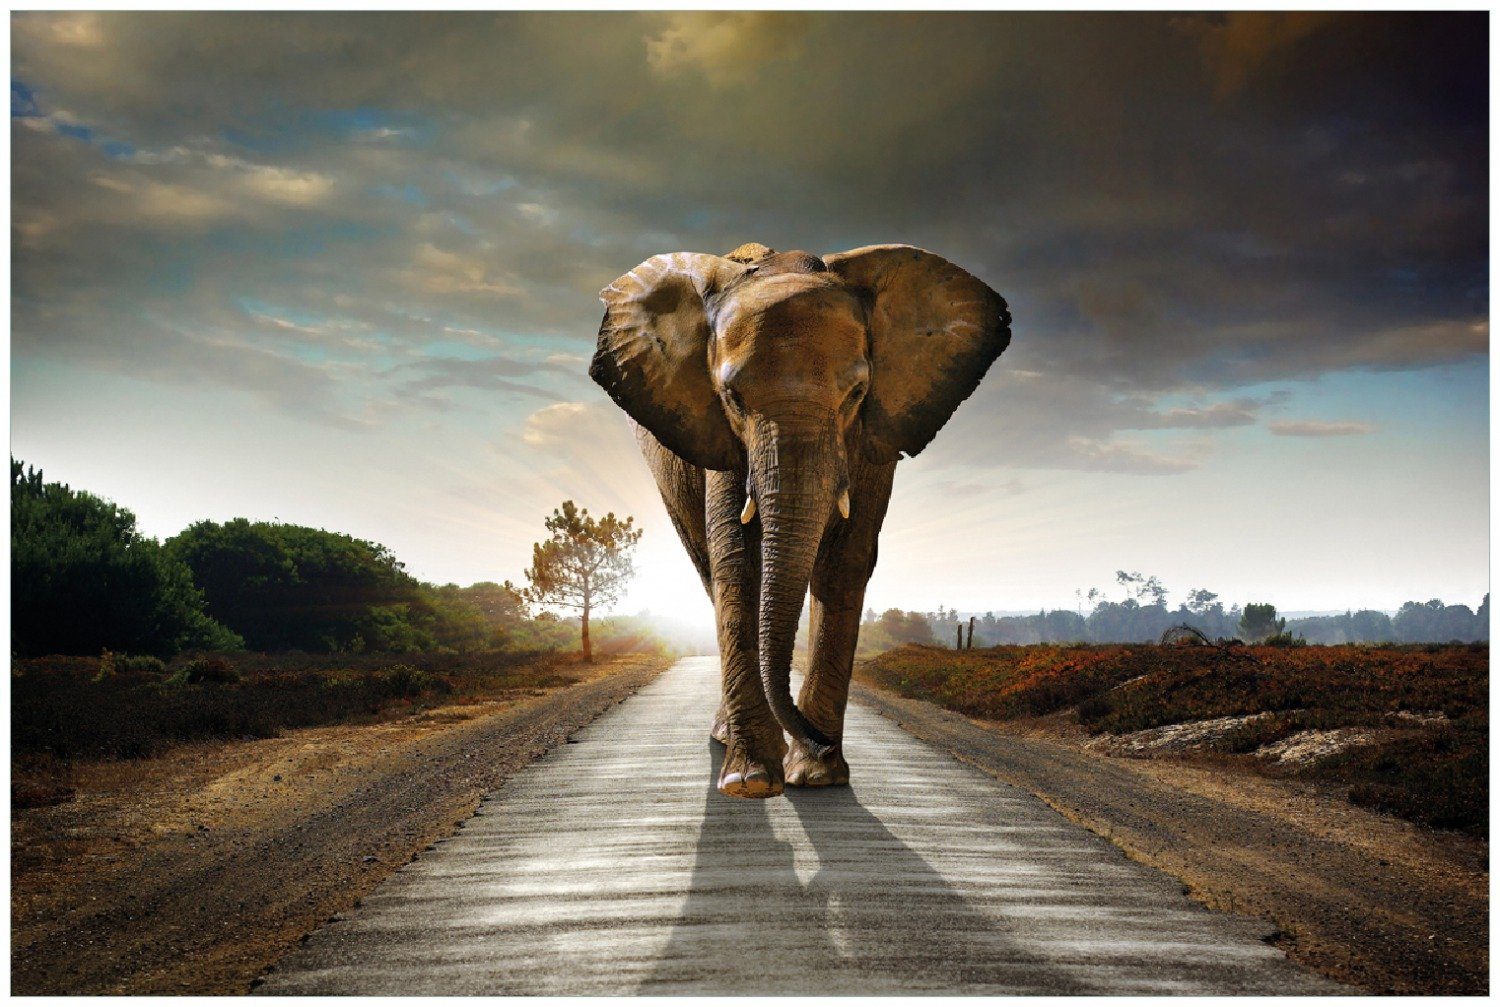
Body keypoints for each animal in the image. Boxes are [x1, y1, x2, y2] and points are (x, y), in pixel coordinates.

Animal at [590, 241, 1010, 798]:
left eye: (856, 394)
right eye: (733, 398)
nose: (819, 741)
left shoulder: (874, 436)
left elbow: (845, 561)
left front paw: (817, 775)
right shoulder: (721, 439)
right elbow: (738, 561)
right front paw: (751, 781)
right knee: (708, 568)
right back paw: (729, 740)